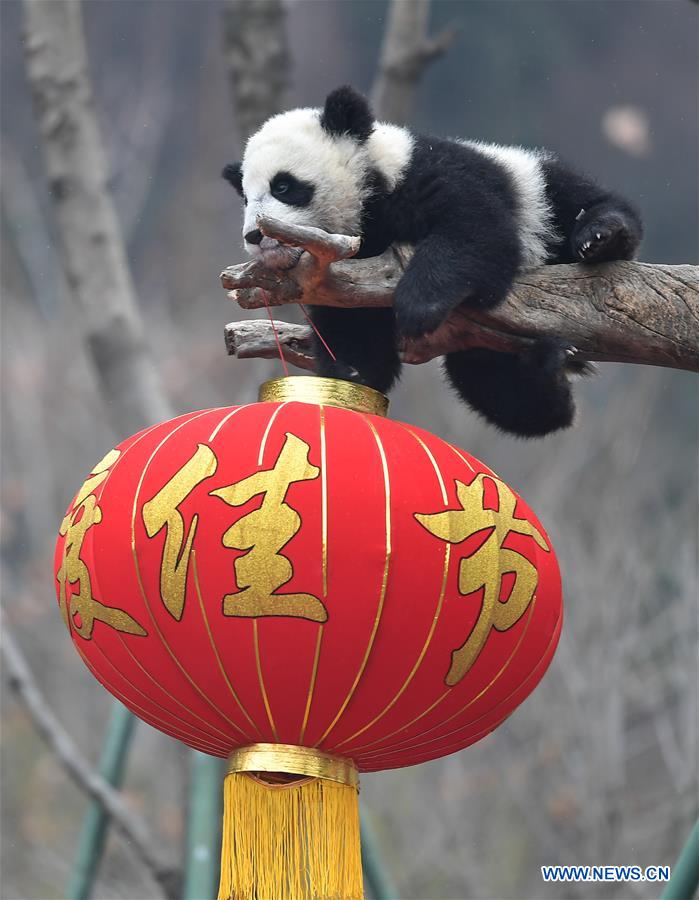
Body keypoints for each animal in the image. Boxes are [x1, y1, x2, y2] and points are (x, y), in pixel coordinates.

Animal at [222, 86, 642, 437]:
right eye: (245, 197)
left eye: (283, 185)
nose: (255, 236)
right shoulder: (344, 279)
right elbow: (356, 336)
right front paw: (350, 376)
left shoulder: (427, 176)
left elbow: (477, 233)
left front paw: (418, 306)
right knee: (492, 384)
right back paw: (547, 372)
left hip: (532, 186)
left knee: (573, 198)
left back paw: (602, 236)